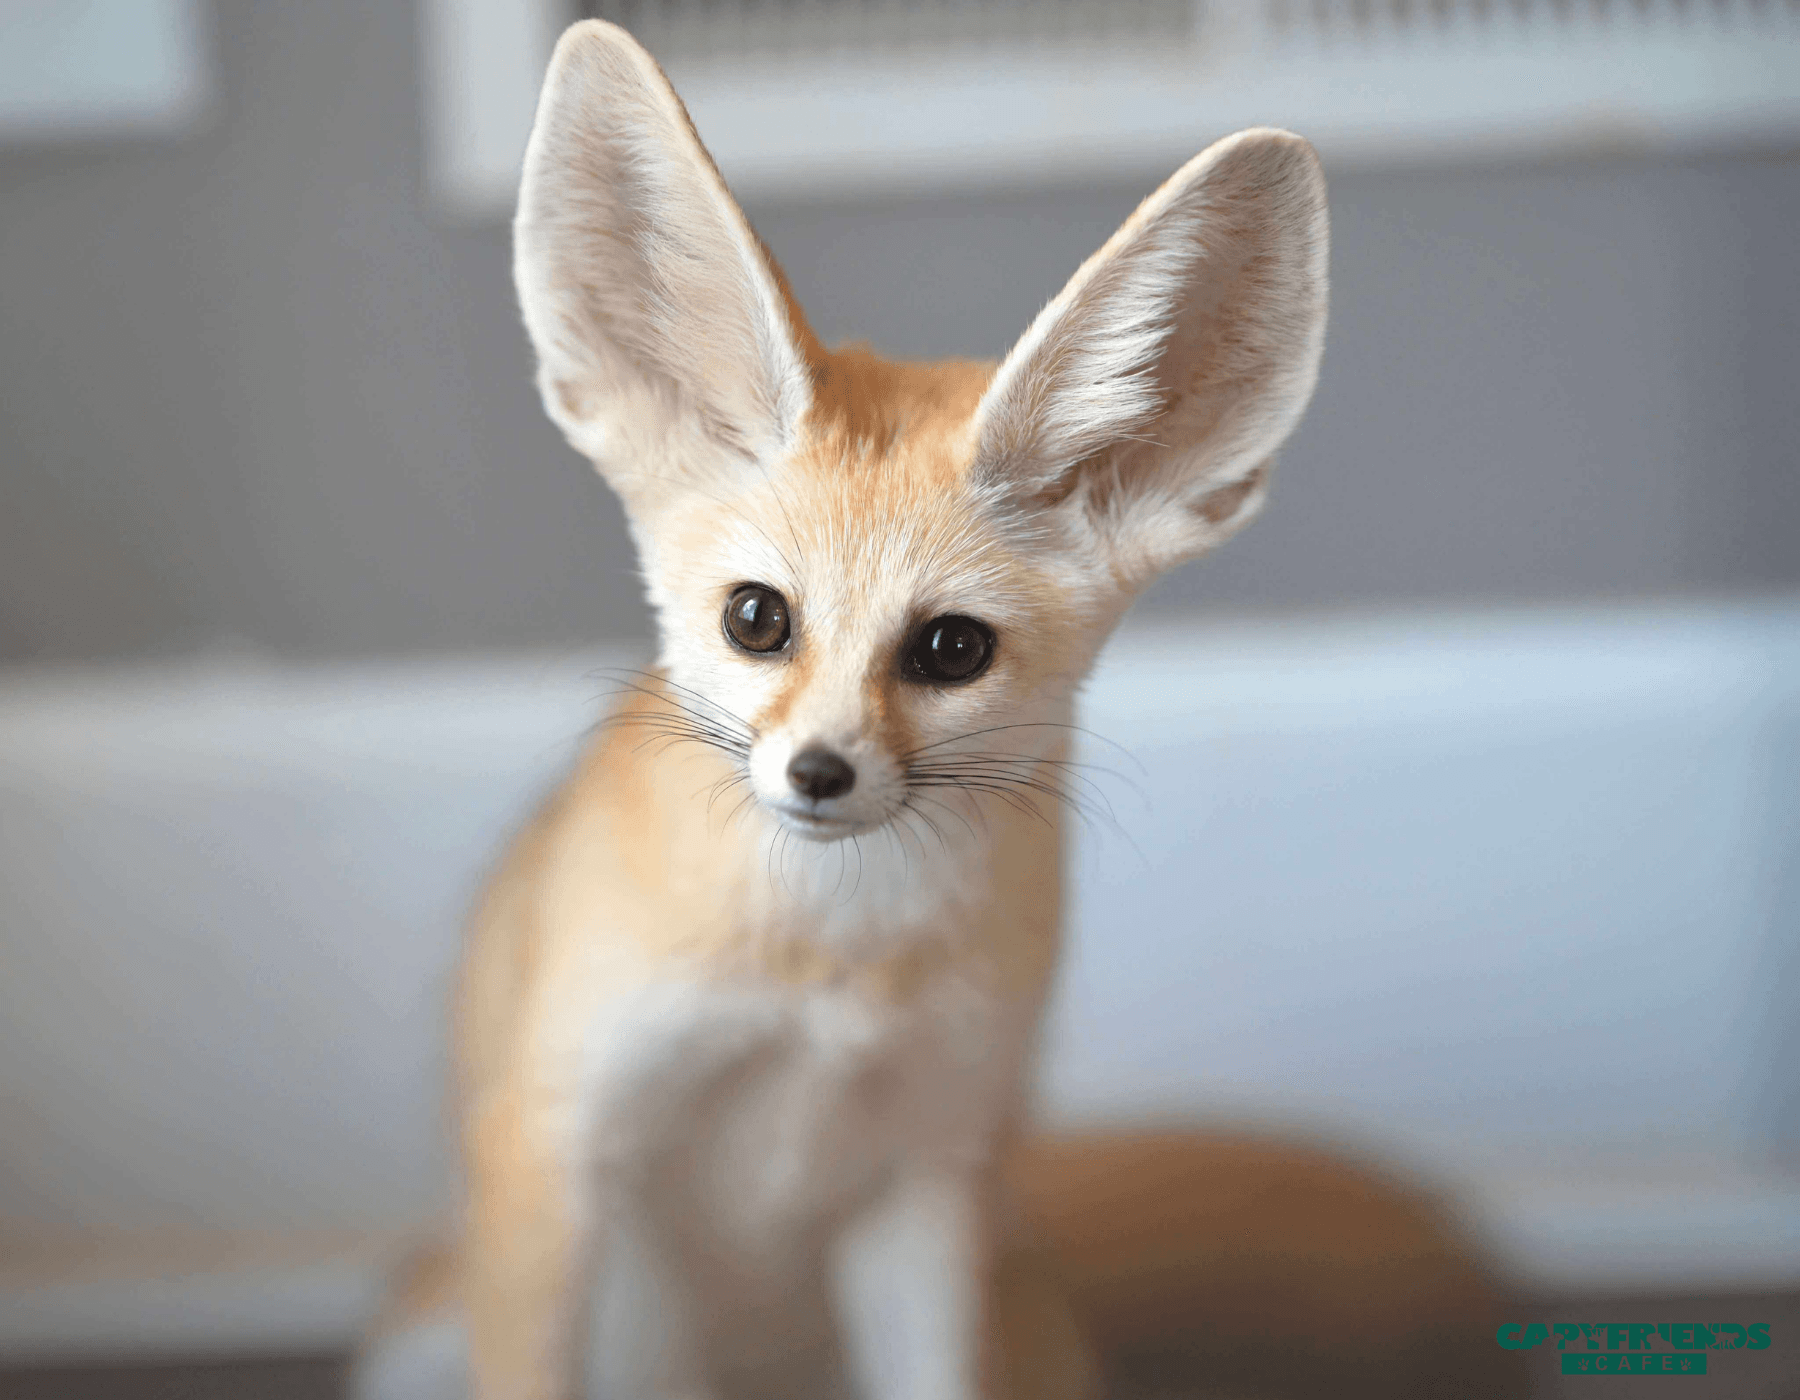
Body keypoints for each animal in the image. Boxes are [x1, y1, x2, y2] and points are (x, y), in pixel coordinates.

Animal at [349, 18, 1515, 1400]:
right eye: (759, 619)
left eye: (951, 648)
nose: (818, 772)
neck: (827, 970)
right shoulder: (557, 1144)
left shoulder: (927, 1177)